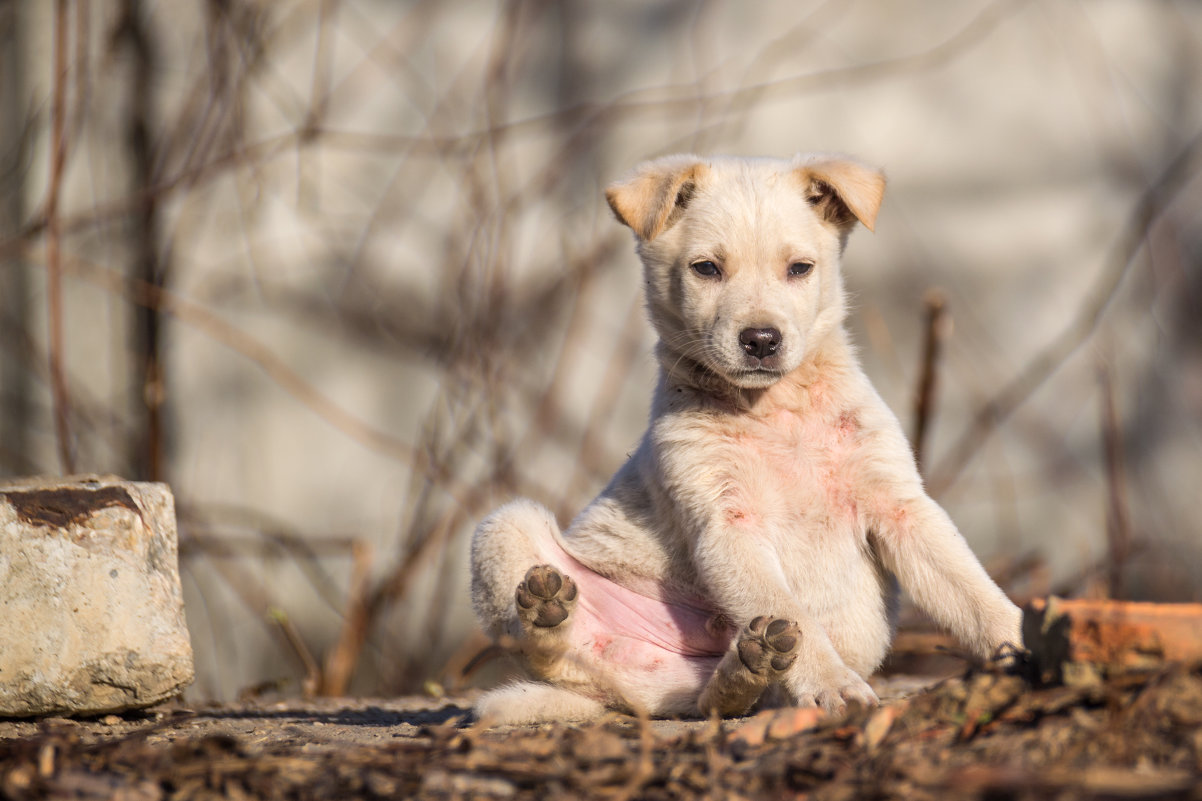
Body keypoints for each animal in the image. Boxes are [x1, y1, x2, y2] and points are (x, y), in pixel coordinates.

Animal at [471, 152, 1024, 721]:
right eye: (706, 268)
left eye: (799, 268)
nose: (760, 340)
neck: (778, 412)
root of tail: (638, 693)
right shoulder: (727, 524)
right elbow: (786, 607)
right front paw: (833, 685)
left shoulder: (900, 505)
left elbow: (972, 591)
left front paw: (1023, 643)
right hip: (506, 527)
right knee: (556, 653)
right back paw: (547, 611)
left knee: (725, 699)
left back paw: (748, 666)